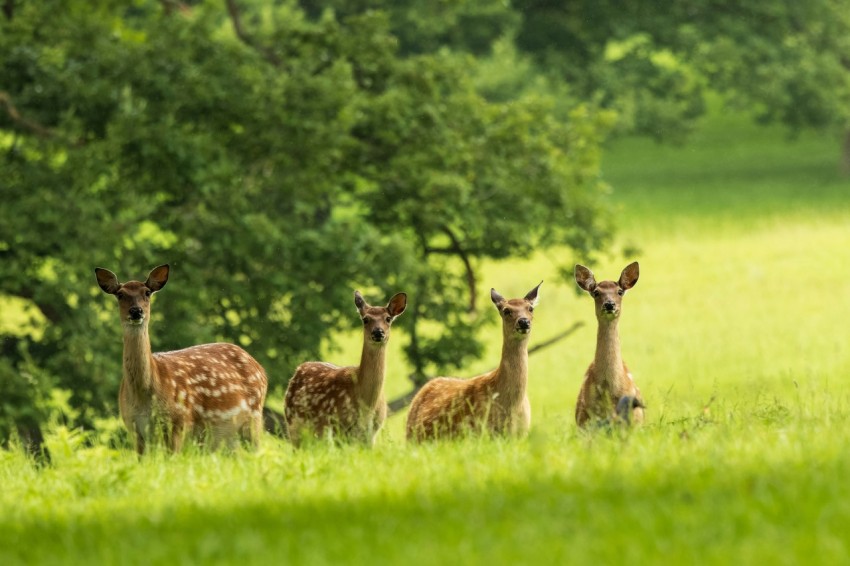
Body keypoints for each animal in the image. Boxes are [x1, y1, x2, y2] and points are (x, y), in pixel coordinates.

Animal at [92, 264, 266, 454]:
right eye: (120, 294)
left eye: (147, 292)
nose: (136, 311)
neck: (144, 397)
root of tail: (260, 367)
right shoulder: (134, 428)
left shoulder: (178, 422)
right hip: (227, 437)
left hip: (254, 418)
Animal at [284, 292, 406, 448]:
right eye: (365, 319)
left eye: (388, 318)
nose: (378, 332)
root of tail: (297, 370)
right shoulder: (338, 426)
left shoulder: (372, 433)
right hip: (294, 424)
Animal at [402, 284, 536, 444]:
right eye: (506, 310)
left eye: (530, 308)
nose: (524, 322)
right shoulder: (481, 433)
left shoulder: (520, 435)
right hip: (414, 438)